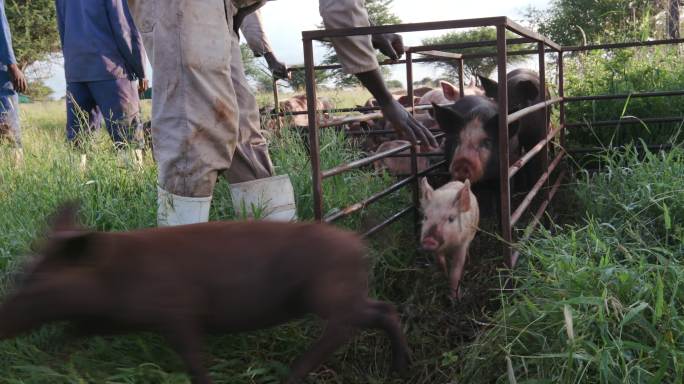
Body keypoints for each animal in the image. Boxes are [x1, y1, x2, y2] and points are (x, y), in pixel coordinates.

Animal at [0, 204, 408, 384]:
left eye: (36, 283)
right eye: (22, 275)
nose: (3, 321)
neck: (113, 277)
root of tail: (359, 243)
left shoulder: (177, 314)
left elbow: (194, 360)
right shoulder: (112, 318)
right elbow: (73, 332)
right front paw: (50, 359)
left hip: (325, 293)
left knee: (345, 326)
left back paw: (292, 376)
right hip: (340, 294)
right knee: (383, 309)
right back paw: (397, 368)